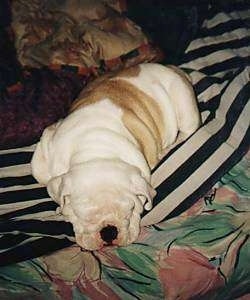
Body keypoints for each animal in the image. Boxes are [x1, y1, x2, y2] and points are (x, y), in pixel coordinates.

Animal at [30, 63, 201, 251]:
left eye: (130, 211)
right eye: (85, 216)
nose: (109, 231)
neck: (95, 150)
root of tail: (174, 68)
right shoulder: (48, 141)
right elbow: (41, 173)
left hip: (184, 105)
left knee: (186, 132)